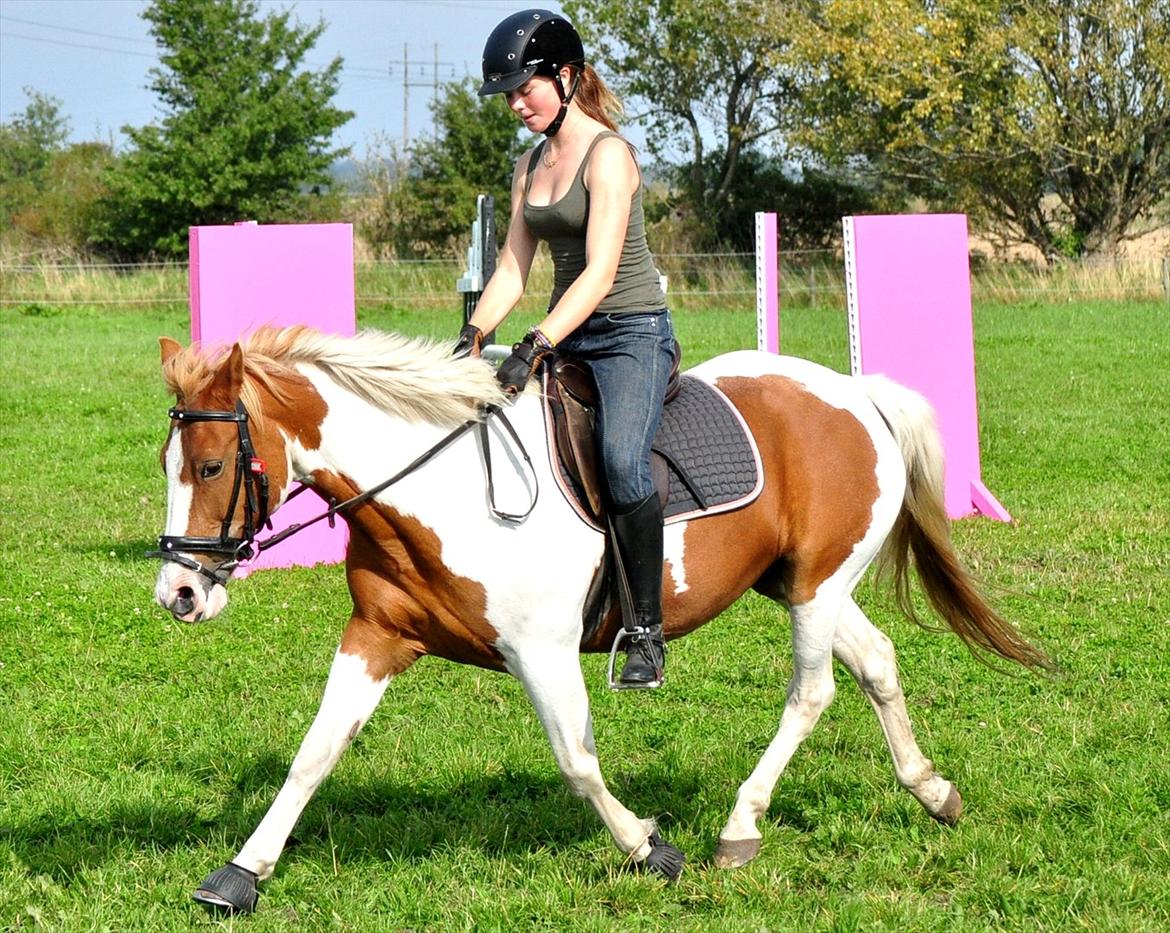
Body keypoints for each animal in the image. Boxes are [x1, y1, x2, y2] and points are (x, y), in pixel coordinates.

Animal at [151, 325, 1049, 914]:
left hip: (819, 586)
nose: (179, 595)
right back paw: (932, 790)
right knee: (877, 661)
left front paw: (652, 848)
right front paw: (241, 874)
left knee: (813, 691)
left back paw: (739, 827)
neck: (432, 490)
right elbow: (314, 752)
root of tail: (854, 391)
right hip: (799, 583)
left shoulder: (541, 651)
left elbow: (577, 762)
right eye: (168, 463)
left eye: (213, 465)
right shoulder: (376, 636)